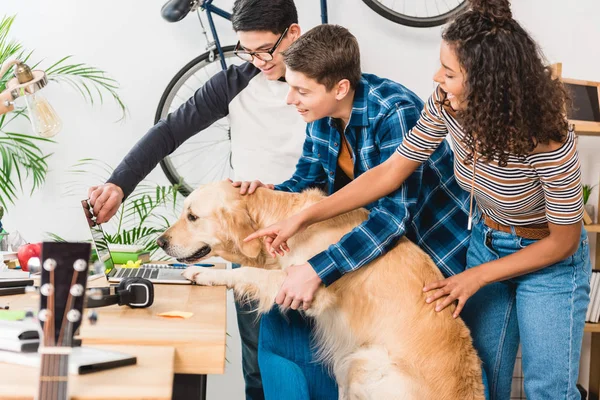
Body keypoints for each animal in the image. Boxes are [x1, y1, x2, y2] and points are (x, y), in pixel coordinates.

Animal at [157, 181, 486, 400]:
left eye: (192, 217)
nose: (160, 241)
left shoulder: (307, 285)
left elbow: (250, 273)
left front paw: (205, 274)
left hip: (364, 361)